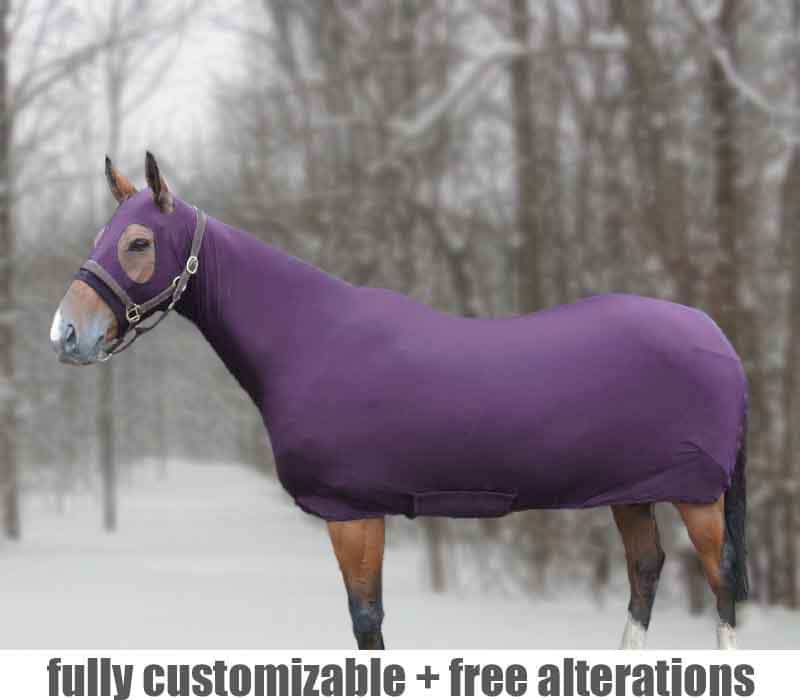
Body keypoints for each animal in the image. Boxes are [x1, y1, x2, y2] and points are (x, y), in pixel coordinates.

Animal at [51, 153, 749, 650]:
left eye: (138, 242)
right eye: (101, 235)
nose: (66, 333)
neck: (309, 335)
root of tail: (716, 336)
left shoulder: (353, 514)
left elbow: (367, 624)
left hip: (697, 496)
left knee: (720, 588)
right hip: (632, 492)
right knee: (647, 572)